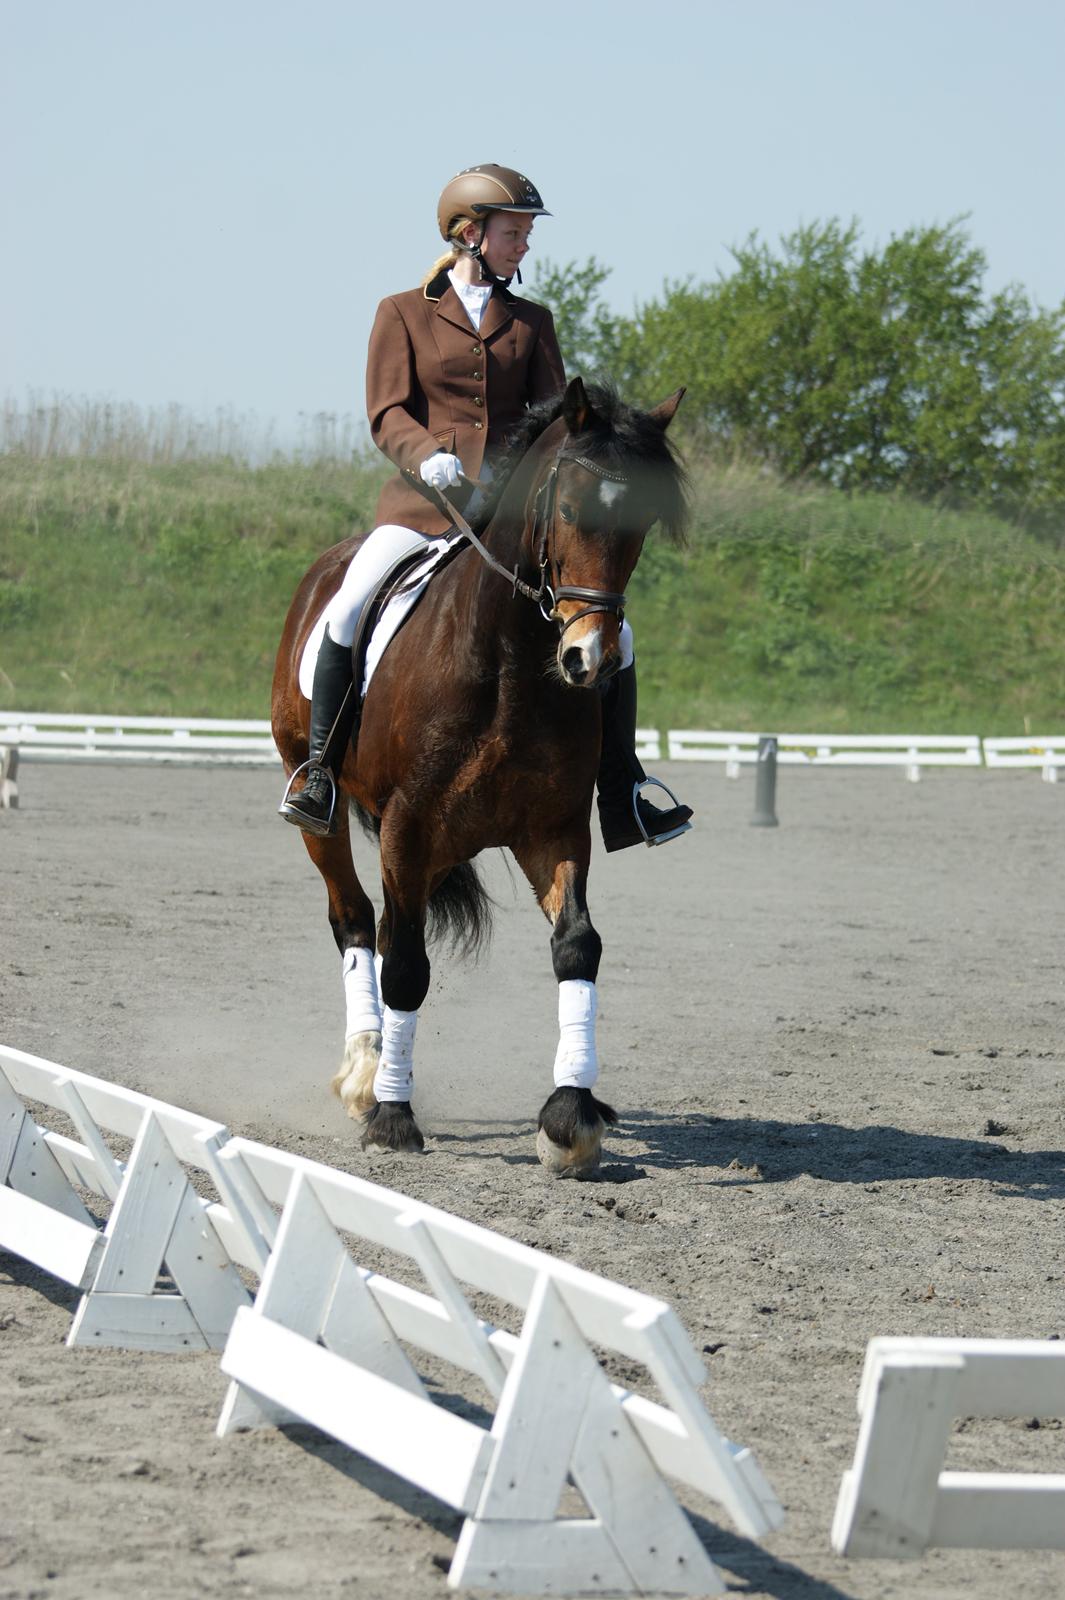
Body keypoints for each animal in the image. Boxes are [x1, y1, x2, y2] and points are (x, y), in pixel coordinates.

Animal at [273, 374, 684, 1177]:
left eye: (643, 525)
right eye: (567, 510)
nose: (589, 659)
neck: (510, 660)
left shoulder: (553, 829)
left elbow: (576, 946)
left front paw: (571, 1116)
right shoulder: (407, 825)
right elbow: (405, 966)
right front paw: (393, 1118)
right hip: (327, 813)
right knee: (356, 920)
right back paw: (365, 1070)